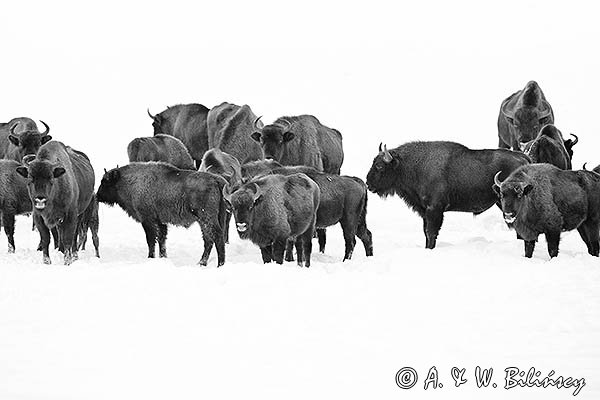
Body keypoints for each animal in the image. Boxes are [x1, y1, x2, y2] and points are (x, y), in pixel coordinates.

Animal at [96, 161, 227, 268]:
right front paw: (163, 257)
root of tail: (217, 180)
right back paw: (201, 263)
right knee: (208, 239)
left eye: (105, 182)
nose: (97, 196)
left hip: (206, 218)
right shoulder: (160, 222)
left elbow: (151, 240)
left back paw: (219, 265)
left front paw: (150, 257)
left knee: (217, 237)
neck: (128, 181)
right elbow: (161, 239)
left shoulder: (148, 220)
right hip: (204, 221)